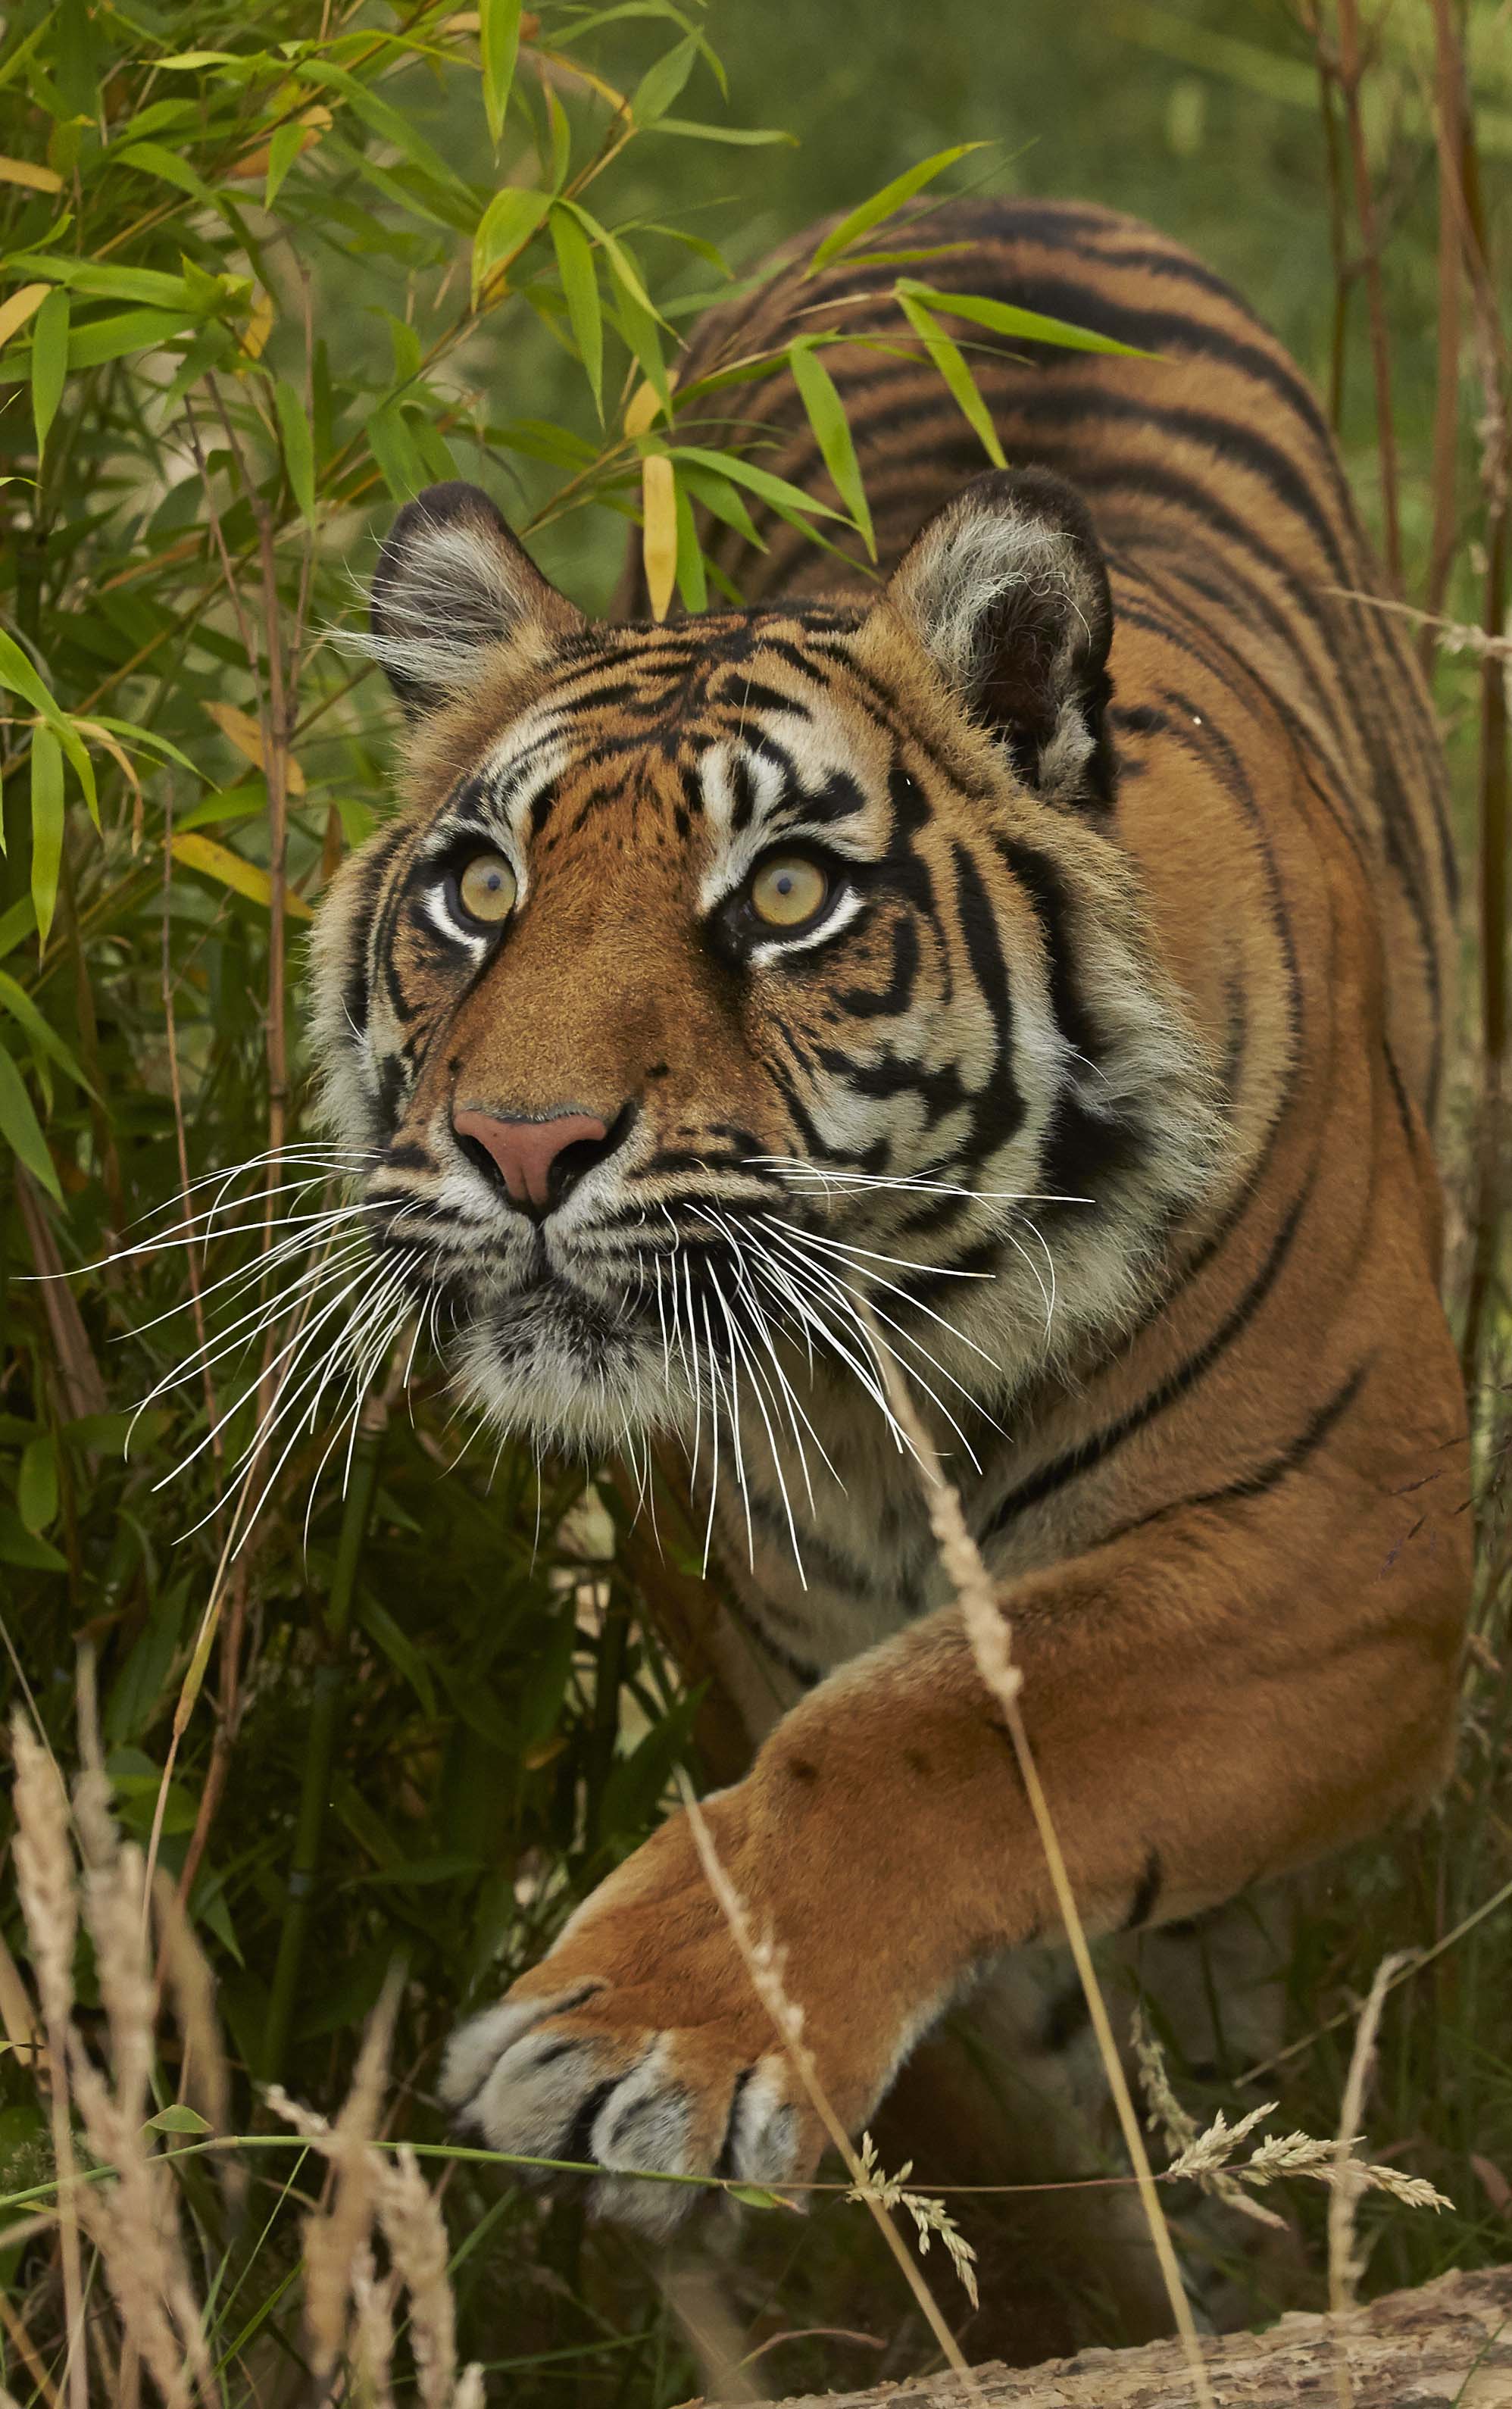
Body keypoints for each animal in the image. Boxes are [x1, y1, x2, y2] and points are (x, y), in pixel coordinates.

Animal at [313, 192, 1473, 2312]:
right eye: (480, 888)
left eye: (784, 894)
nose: (519, 1145)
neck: (888, 1370)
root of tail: (1004, 198)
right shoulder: (732, 1607)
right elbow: (1006, 2036)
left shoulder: (1350, 1545)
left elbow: (956, 1724)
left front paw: (637, 2046)